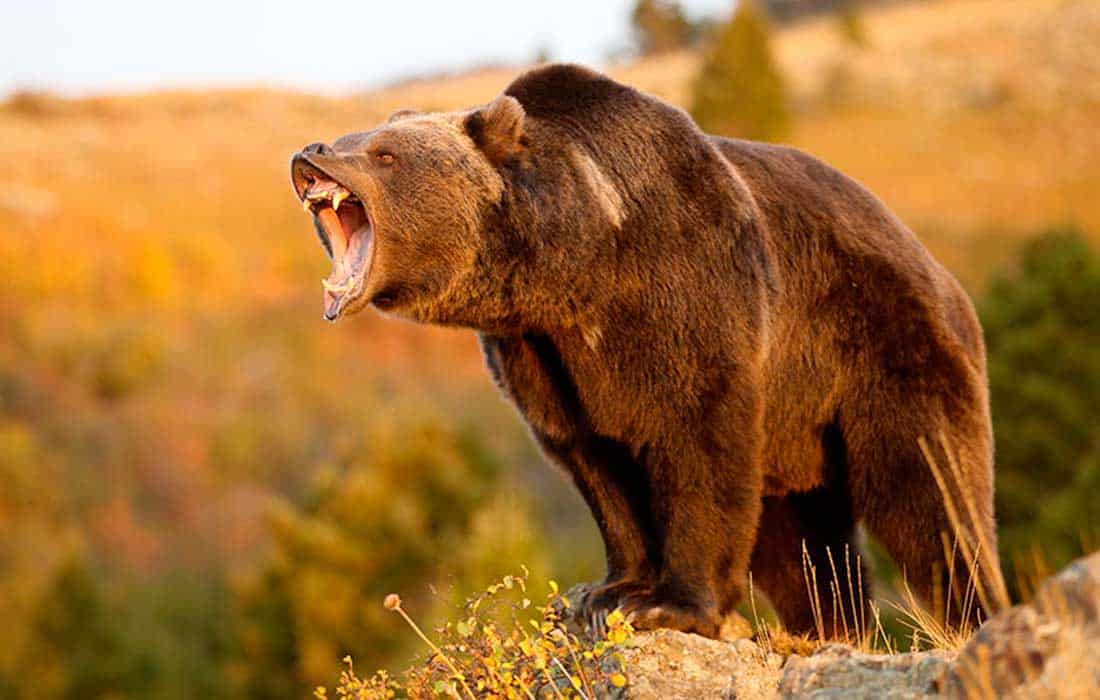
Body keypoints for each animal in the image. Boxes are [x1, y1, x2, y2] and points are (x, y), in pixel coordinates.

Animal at [290, 63, 1008, 639]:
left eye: (383, 154)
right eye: (353, 137)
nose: (312, 152)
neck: (579, 265)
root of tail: (941, 272)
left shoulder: (688, 292)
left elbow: (698, 440)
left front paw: (670, 606)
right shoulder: (543, 357)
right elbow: (597, 462)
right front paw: (606, 592)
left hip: (886, 350)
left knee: (932, 494)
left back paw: (974, 614)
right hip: (799, 434)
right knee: (802, 544)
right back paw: (831, 626)